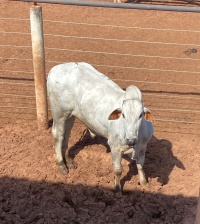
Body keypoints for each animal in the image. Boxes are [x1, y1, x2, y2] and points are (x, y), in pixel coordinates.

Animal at [47, 62, 154, 192]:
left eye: (140, 115)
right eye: (123, 115)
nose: (131, 139)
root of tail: (56, 68)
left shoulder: (143, 146)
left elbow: (140, 165)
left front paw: (144, 183)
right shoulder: (115, 147)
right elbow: (118, 170)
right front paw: (117, 188)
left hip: (70, 115)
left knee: (66, 135)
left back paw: (69, 161)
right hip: (59, 114)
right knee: (58, 135)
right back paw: (61, 165)